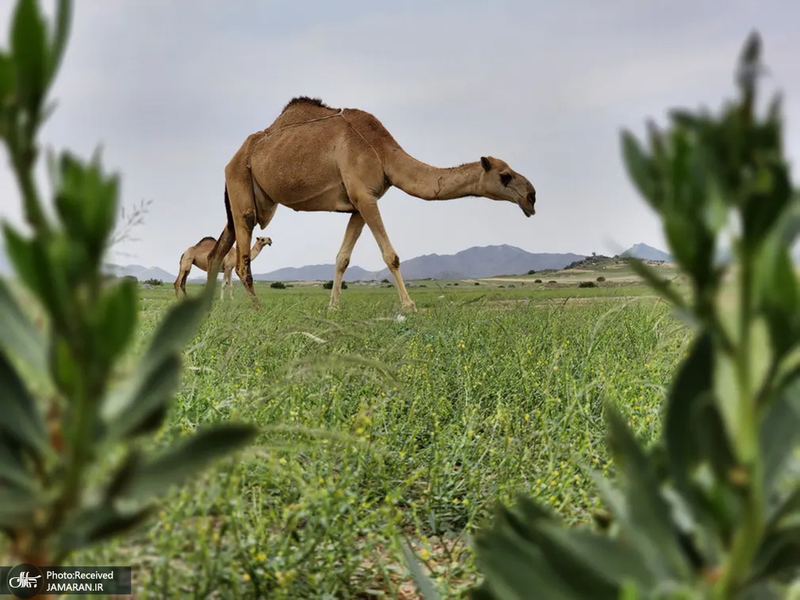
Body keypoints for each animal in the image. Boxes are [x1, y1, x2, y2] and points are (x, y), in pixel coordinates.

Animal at [206, 96, 536, 312]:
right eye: (505, 176)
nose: (531, 197)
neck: (382, 151)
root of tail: (232, 159)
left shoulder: (360, 202)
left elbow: (342, 258)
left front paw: (333, 307)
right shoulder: (364, 196)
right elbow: (391, 255)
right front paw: (409, 305)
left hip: (245, 199)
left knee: (217, 252)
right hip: (242, 189)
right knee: (241, 258)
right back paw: (258, 308)